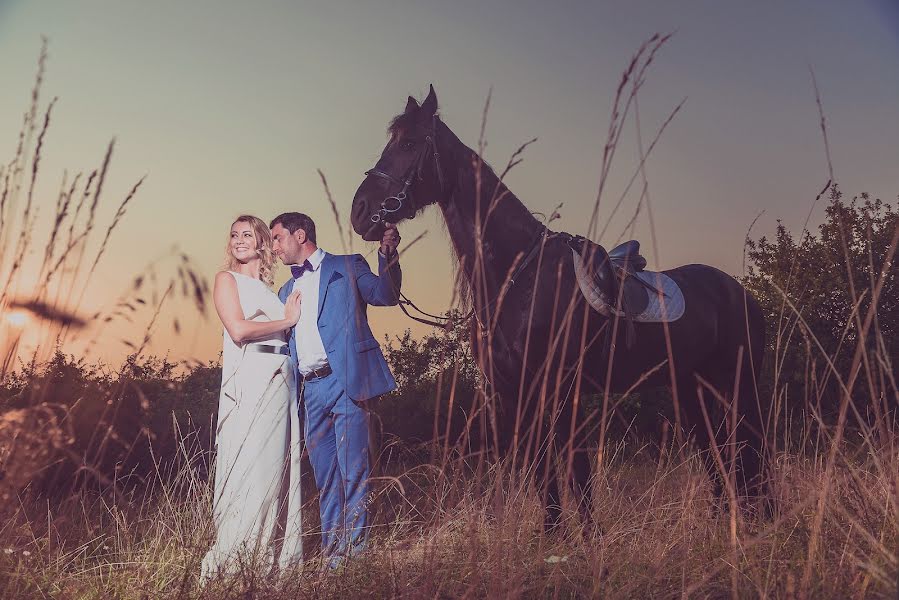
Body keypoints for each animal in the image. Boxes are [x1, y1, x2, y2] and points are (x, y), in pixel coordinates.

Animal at [352, 84, 768, 520]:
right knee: (720, 458)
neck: (519, 280)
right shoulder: (515, 395)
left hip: (740, 386)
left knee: (751, 452)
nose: (359, 212)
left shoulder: (563, 388)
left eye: (410, 143)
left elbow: (578, 476)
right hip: (691, 388)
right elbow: (543, 478)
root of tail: (738, 292)